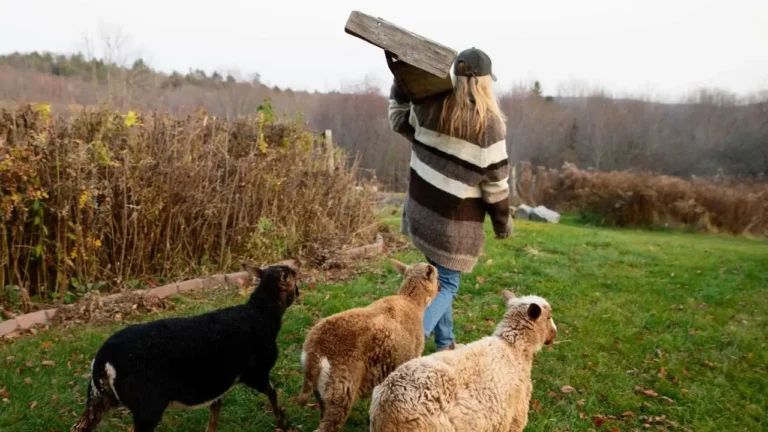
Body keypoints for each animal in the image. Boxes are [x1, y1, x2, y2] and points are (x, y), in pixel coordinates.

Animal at [70, 261, 301, 432]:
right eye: (294, 279)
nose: (299, 293)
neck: (261, 315)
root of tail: (103, 361)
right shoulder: (256, 372)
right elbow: (272, 392)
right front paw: (283, 422)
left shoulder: (218, 379)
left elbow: (216, 407)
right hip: (147, 405)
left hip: (98, 398)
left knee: (79, 427)